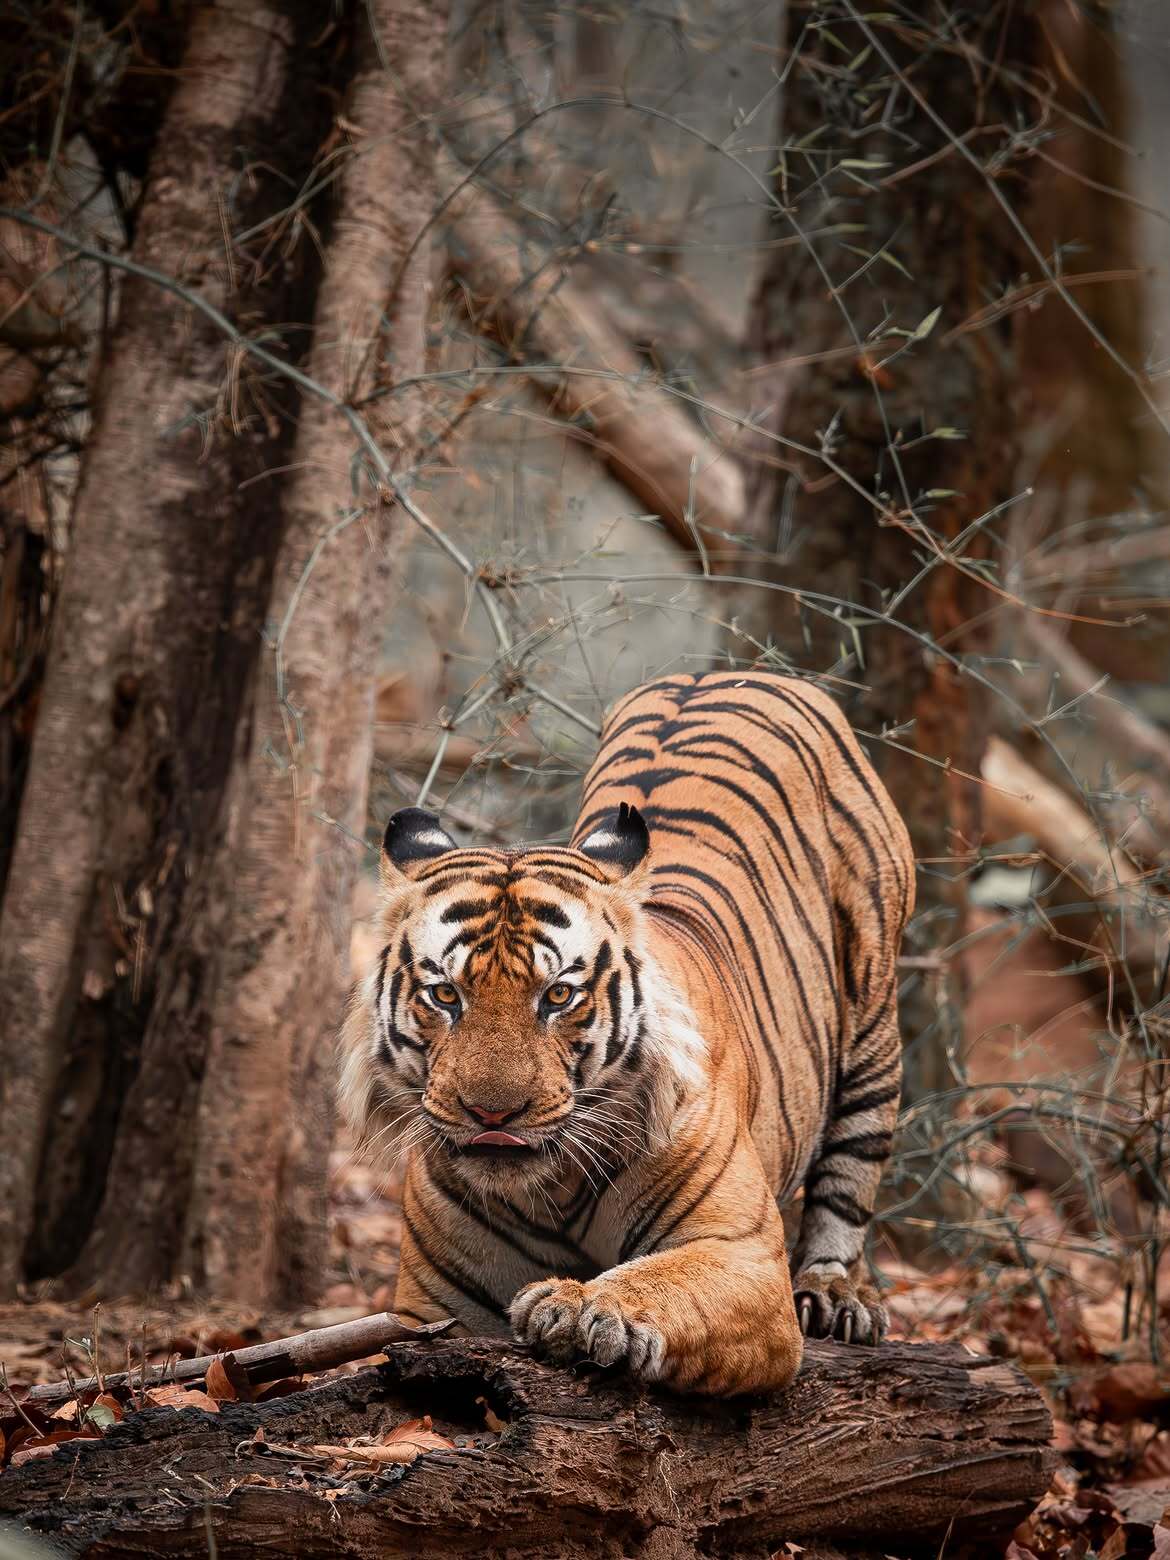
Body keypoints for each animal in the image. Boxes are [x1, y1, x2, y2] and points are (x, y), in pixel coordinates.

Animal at [340, 670, 914, 1396]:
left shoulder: (743, 1253)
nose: (492, 1114)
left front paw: (577, 1304)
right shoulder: (429, 1309)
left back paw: (837, 1295)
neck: (549, 1193)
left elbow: (668, 1279)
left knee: (852, 1173)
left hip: (874, 1015)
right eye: (445, 995)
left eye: (558, 995)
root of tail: (719, 674)